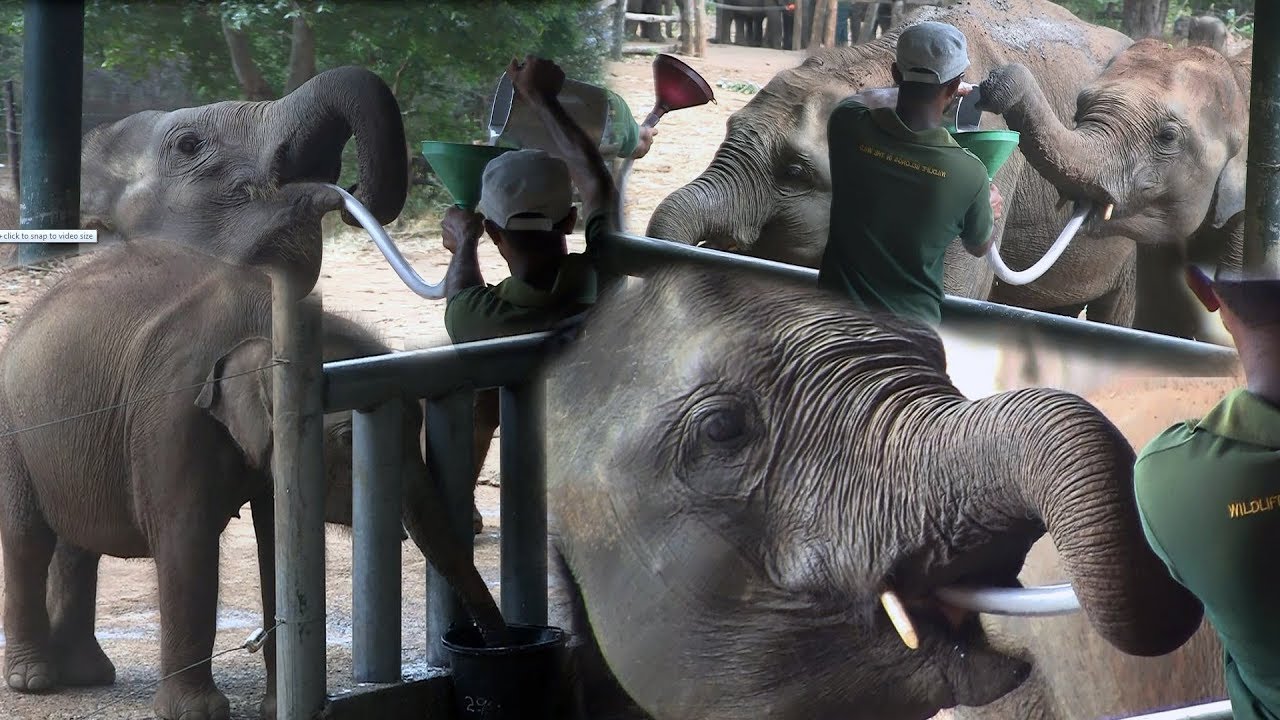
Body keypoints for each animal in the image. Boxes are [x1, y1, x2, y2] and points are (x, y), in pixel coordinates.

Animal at [0, 238, 504, 720]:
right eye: (347, 438)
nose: (495, 647)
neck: (268, 318)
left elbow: (277, 544)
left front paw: (277, 709)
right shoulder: (173, 415)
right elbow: (187, 542)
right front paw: (197, 714)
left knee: (77, 545)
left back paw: (87, 674)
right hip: (15, 434)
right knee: (29, 539)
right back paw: (34, 680)